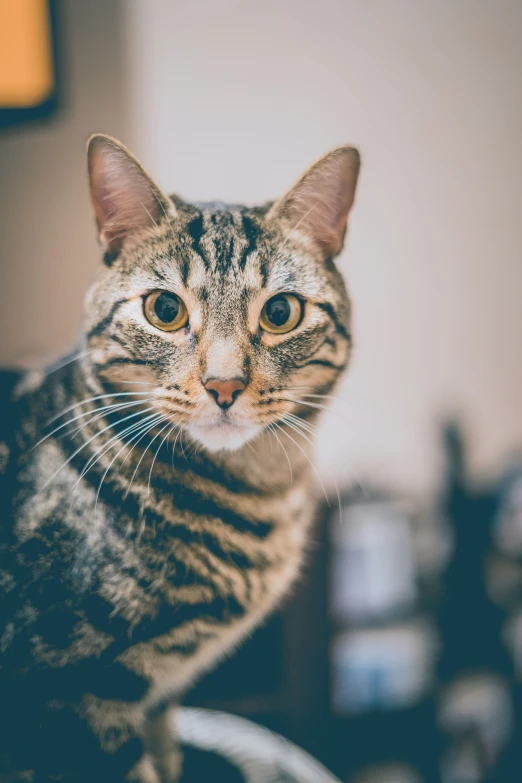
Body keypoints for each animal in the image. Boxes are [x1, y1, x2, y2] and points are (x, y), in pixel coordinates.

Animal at [0, 136, 358, 783]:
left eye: (281, 313)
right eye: (164, 310)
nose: (224, 385)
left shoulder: (156, 697)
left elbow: (167, 756)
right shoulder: (71, 702)